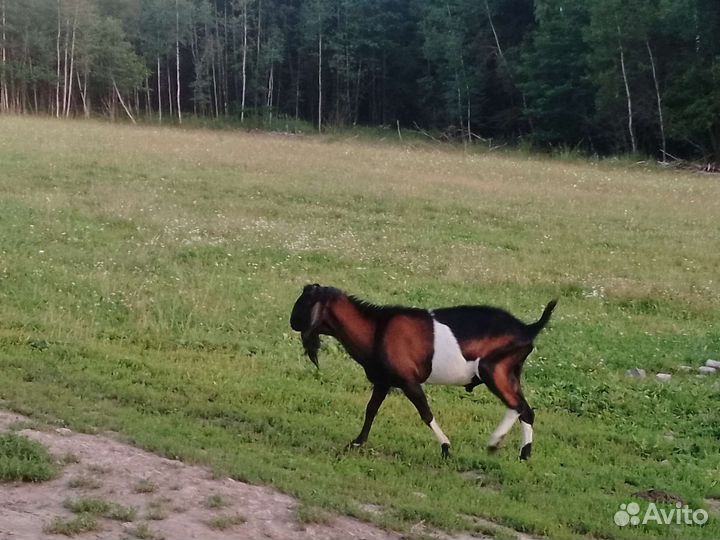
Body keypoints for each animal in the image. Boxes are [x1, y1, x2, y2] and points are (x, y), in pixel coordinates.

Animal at [290, 284, 556, 460]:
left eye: (303, 303)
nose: (292, 322)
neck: (376, 328)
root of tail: (527, 329)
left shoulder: (408, 381)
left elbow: (425, 413)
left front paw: (446, 447)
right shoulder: (384, 382)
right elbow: (371, 410)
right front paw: (357, 443)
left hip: (493, 370)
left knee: (518, 406)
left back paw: (505, 446)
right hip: (508, 373)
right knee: (524, 409)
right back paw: (515, 450)